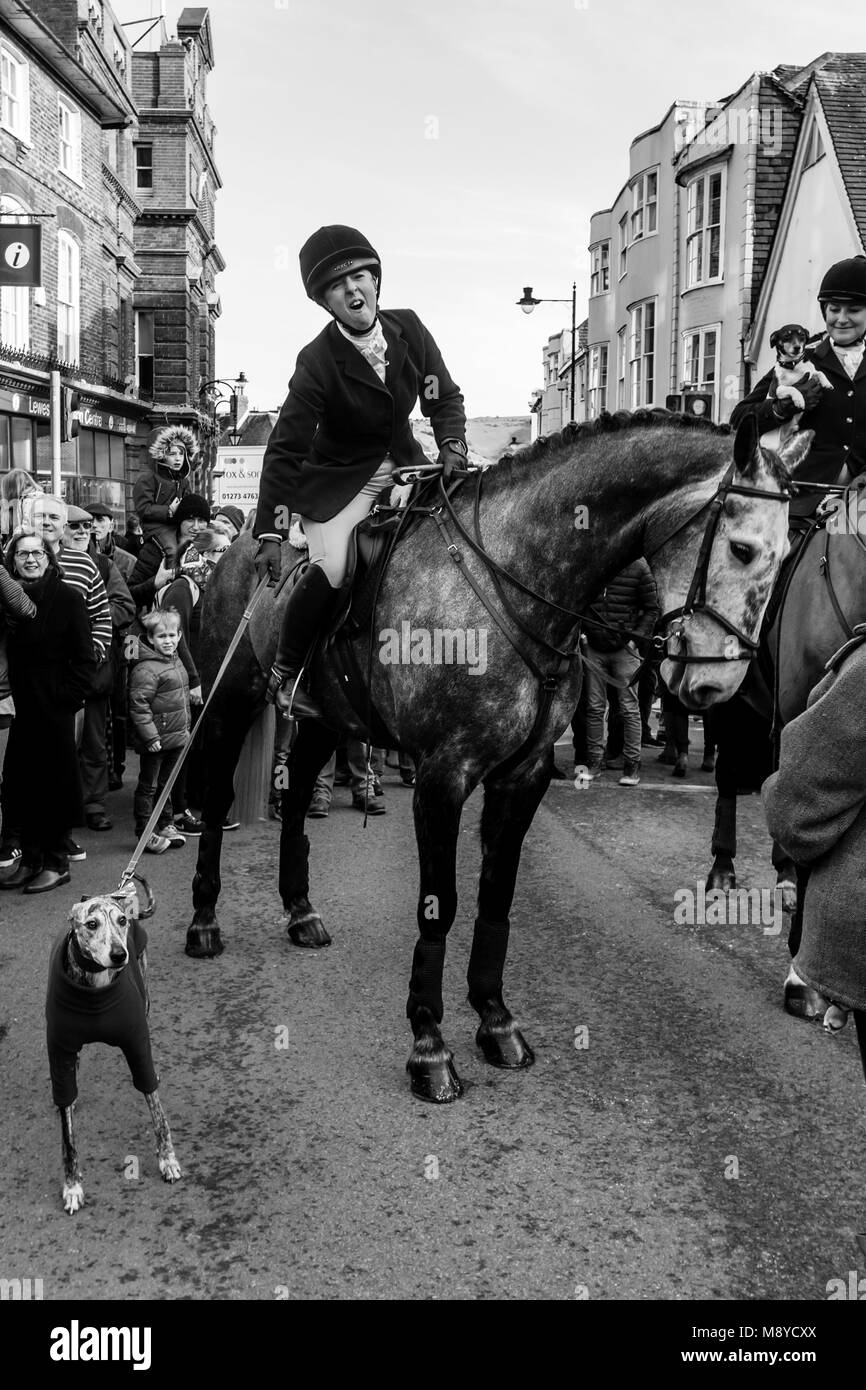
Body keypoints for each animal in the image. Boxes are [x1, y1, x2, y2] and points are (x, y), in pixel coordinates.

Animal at [187, 405, 795, 1100]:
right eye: (741, 548)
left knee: (293, 803)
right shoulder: (443, 777)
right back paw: (203, 921)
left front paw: (496, 1021)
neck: (513, 576)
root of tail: (237, 546)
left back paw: (299, 910)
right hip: (228, 701)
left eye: (785, 556)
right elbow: (439, 906)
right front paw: (429, 1046)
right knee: (214, 798)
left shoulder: (523, 776)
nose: (718, 686)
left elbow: (496, 897)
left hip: (320, 720)